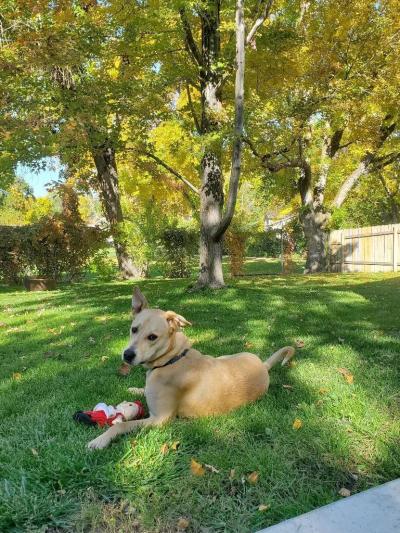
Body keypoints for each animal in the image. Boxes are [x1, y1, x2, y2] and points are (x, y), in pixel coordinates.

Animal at [87, 286, 294, 448]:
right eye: (134, 329)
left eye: (152, 337)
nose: (128, 355)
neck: (172, 358)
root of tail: (264, 366)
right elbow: (142, 390)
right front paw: (135, 389)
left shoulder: (159, 419)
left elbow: (120, 425)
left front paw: (100, 440)